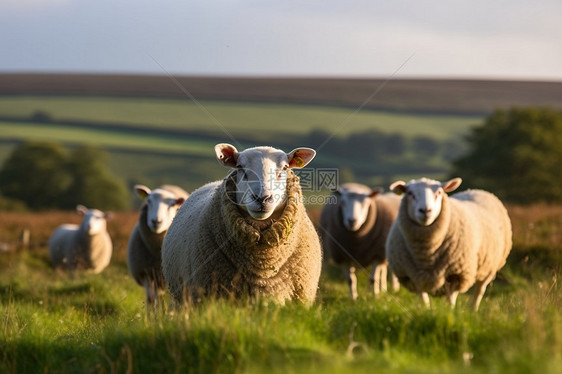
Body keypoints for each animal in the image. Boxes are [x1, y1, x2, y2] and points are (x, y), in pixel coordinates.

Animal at [382, 178, 510, 310]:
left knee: (479, 290)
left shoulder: (456, 274)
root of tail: (478, 191)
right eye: (410, 193)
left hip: (490, 267)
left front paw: (449, 311)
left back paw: (472, 310)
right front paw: (426, 310)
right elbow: (423, 300)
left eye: (439, 192)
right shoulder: (412, 276)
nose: (425, 211)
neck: (426, 253)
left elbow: (450, 300)